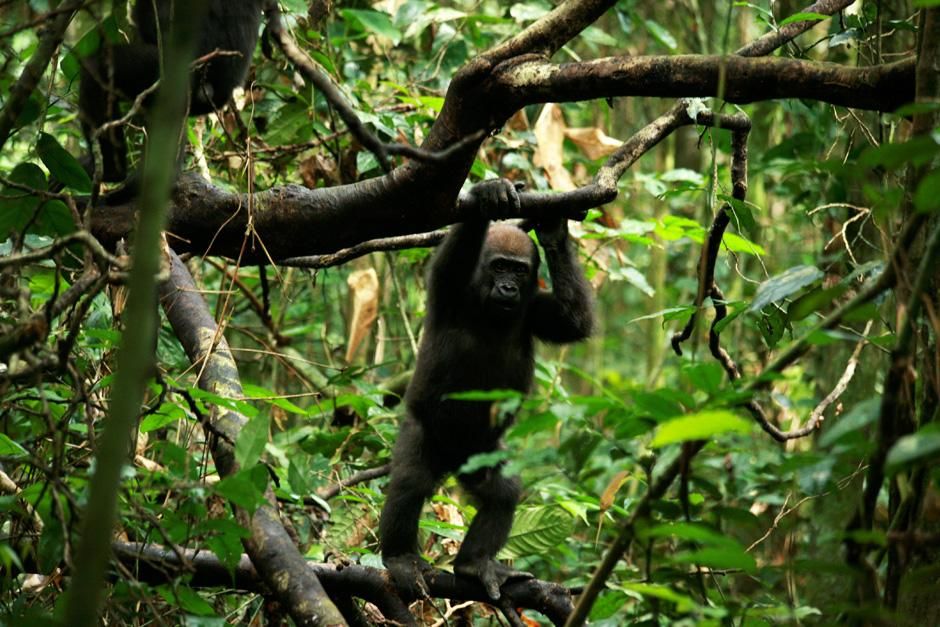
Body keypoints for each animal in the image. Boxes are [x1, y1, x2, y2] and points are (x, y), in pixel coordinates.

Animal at [382, 179, 596, 600]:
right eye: (498, 265)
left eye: (518, 269)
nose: (509, 288)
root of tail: (453, 462)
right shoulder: (449, 285)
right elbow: (454, 253)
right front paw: (488, 194)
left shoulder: (539, 310)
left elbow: (573, 320)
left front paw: (553, 230)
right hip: (427, 435)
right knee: (411, 480)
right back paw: (399, 558)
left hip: (478, 455)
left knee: (502, 492)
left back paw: (473, 563)